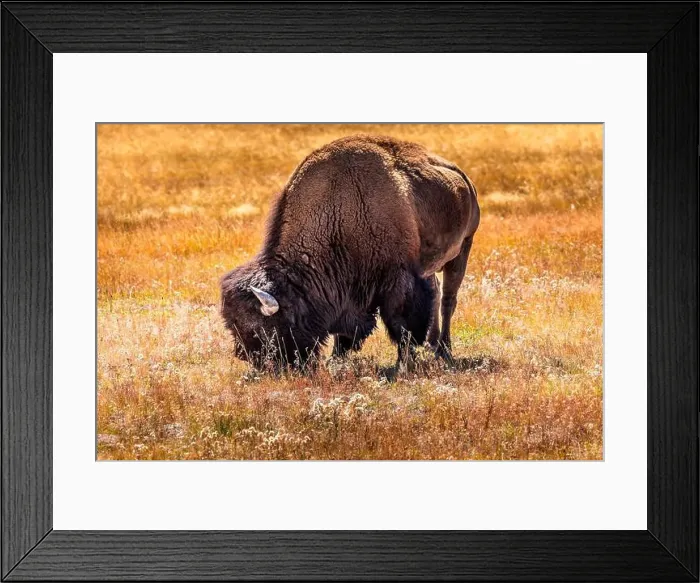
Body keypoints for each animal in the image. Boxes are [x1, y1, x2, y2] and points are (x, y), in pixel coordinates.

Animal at [221, 135, 480, 369]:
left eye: (260, 328)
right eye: (233, 325)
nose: (248, 357)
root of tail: (465, 180)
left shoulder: (399, 281)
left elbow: (401, 324)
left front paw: (404, 362)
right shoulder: (347, 293)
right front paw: (336, 358)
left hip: (462, 250)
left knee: (447, 300)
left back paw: (444, 351)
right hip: (433, 264)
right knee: (436, 293)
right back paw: (432, 345)